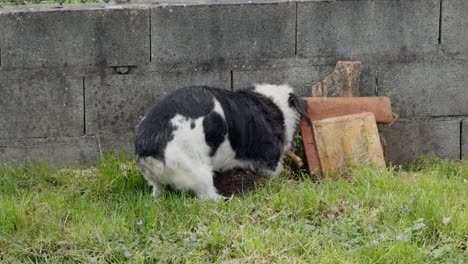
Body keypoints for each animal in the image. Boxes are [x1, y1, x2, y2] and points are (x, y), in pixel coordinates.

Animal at [135, 83, 310, 201]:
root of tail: (148, 149)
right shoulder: (270, 163)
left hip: (157, 181)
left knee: (157, 189)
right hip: (199, 173)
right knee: (207, 196)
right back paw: (223, 199)